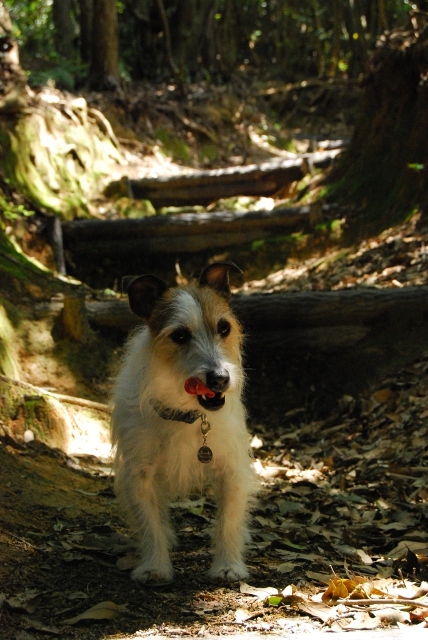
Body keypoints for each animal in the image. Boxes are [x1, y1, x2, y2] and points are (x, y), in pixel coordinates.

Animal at [110, 262, 258, 584]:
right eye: (179, 335)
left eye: (224, 328)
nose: (220, 378)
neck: (186, 414)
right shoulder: (139, 473)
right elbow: (149, 522)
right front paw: (155, 565)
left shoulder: (232, 470)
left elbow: (228, 520)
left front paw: (228, 565)